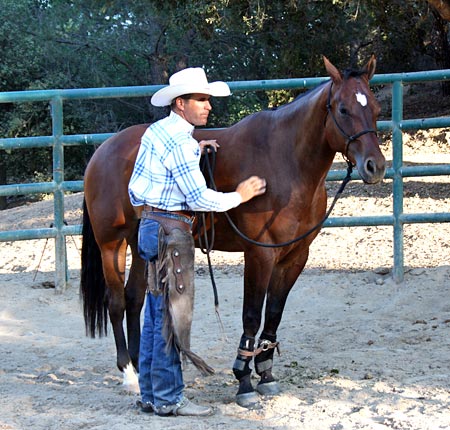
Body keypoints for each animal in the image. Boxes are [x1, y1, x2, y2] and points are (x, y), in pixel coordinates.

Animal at [79, 56, 384, 406]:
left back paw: (142, 369)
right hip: (112, 244)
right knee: (116, 302)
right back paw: (129, 374)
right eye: (343, 109)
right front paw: (244, 382)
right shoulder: (260, 254)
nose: (375, 166)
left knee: (134, 298)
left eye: (376, 108)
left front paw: (266, 375)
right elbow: (251, 316)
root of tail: (101, 152)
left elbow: (274, 314)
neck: (285, 161)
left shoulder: (295, 256)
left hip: (142, 245)